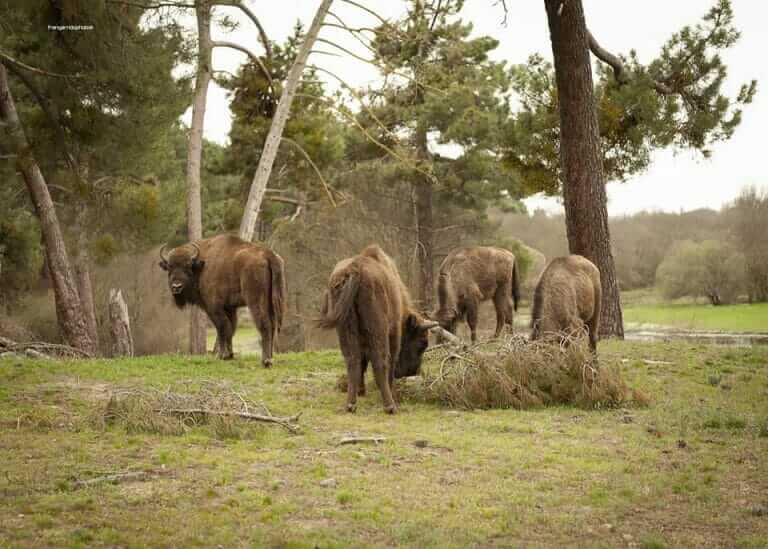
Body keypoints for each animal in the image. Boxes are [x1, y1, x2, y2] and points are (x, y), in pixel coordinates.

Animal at [159, 233, 288, 366]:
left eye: (188, 266)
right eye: (169, 268)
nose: (176, 287)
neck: (202, 265)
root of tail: (268, 254)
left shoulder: (214, 307)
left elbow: (222, 327)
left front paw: (221, 355)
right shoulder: (230, 308)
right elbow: (231, 328)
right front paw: (229, 355)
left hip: (256, 301)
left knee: (264, 324)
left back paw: (266, 361)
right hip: (272, 300)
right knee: (272, 325)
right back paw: (271, 357)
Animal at [318, 246, 438, 414]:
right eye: (422, 343)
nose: (413, 372)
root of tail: (355, 269)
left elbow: (362, 362)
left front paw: (361, 391)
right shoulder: (394, 331)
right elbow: (391, 359)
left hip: (345, 329)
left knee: (352, 360)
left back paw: (351, 404)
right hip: (378, 329)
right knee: (380, 360)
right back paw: (390, 405)